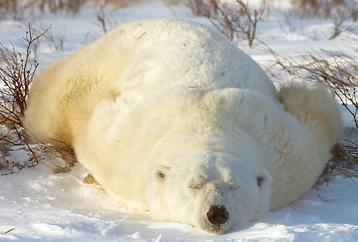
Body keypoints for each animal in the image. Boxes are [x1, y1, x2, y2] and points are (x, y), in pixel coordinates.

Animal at [23, 19, 342, 233]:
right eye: (194, 185)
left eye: (235, 185)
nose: (216, 213)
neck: (210, 124)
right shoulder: (124, 147)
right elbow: (93, 121)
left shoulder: (288, 158)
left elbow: (317, 116)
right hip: (103, 57)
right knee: (57, 101)